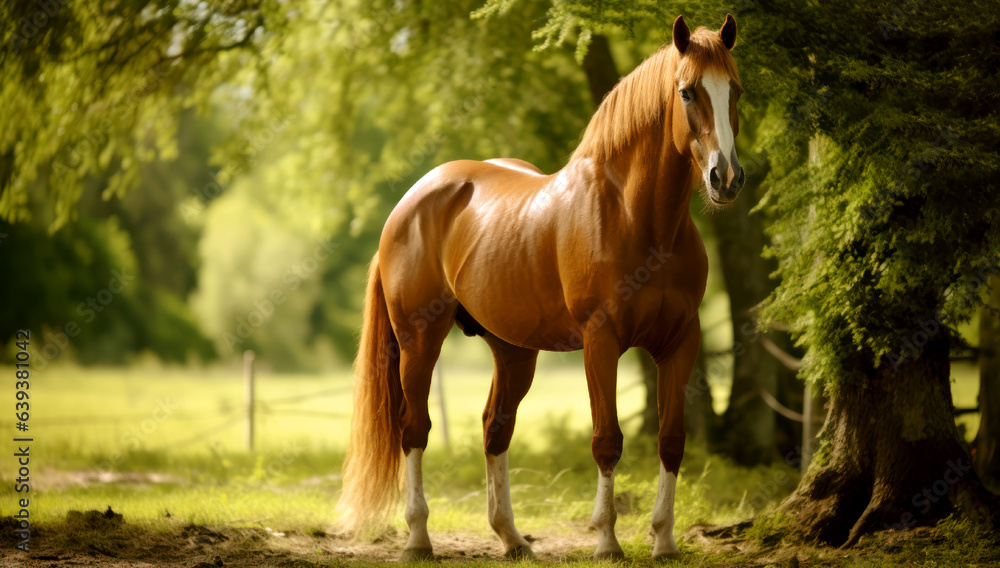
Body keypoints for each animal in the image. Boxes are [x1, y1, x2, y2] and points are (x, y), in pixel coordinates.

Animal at [339, 13, 744, 562]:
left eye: (735, 90)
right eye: (687, 91)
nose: (726, 178)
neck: (636, 217)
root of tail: (413, 199)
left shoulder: (681, 341)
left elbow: (671, 439)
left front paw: (664, 542)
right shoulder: (601, 340)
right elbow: (607, 441)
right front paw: (607, 542)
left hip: (513, 350)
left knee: (495, 427)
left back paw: (512, 538)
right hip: (419, 340)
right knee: (414, 429)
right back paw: (419, 538)